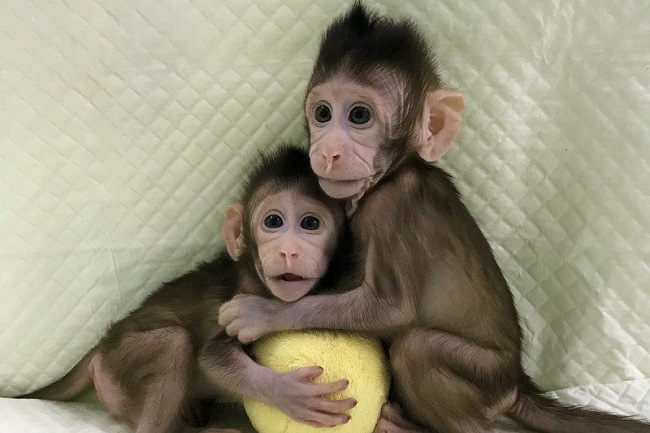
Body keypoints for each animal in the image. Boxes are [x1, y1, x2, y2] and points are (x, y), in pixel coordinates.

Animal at [21, 144, 358, 433]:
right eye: (273, 222)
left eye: (310, 224)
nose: (289, 251)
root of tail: (103, 344)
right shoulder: (240, 298)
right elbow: (213, 358)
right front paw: (288, 393)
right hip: (118, 363)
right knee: (174, 344)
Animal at [218, 4, 650, 433]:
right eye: (322, 113)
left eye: (359, 115)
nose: (328, 152)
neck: (396, 171)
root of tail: (514, 383)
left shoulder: (390, 207)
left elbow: (391, 308)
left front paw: (262, 313)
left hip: (483, 377)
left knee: (417, 348)